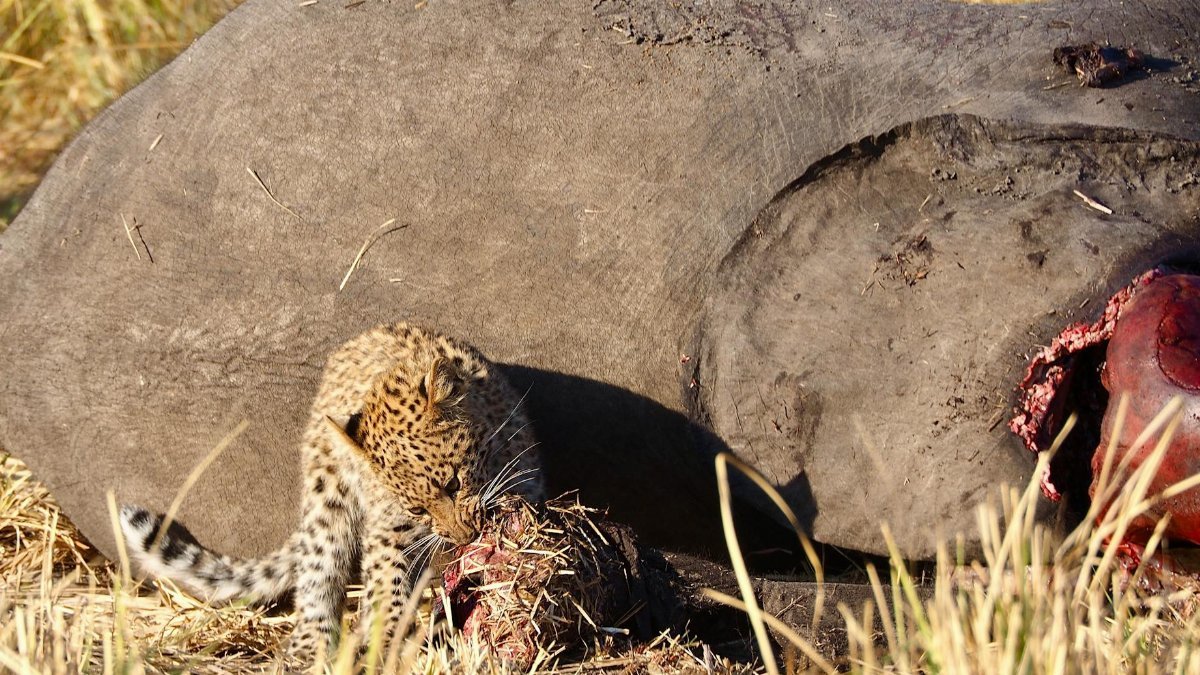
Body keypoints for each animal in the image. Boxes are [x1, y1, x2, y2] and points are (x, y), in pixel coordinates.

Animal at [119, 322, 543, 661]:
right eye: (417, 510)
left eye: (454, 484)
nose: (464, 536)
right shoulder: (387, 528)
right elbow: (386, 580)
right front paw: (388, 636)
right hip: (326, 494)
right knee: (318, 566)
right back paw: (311, 646)